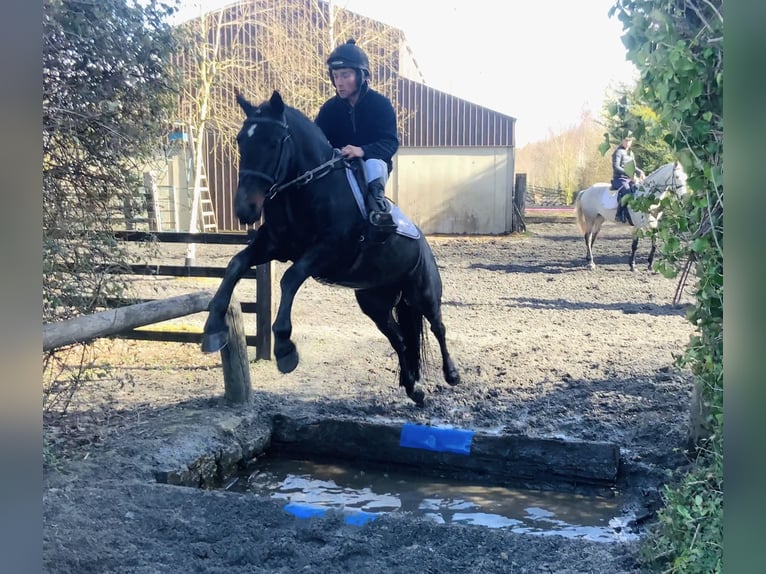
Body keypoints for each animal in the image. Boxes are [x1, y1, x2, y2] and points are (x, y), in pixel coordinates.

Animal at [201, 90, 460, 407]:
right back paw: (414, 387)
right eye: (241, 140)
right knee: (399, 340)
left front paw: (285, 347)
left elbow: (290, 278)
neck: (305, 188)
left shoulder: (329, 250)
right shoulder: (274, 246)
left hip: (423, 292)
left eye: (274, 142)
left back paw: (451, 374)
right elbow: (236, 264)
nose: (244, 210)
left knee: (438, 326)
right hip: (375, 304)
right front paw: (214, 325)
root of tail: (422, 241)